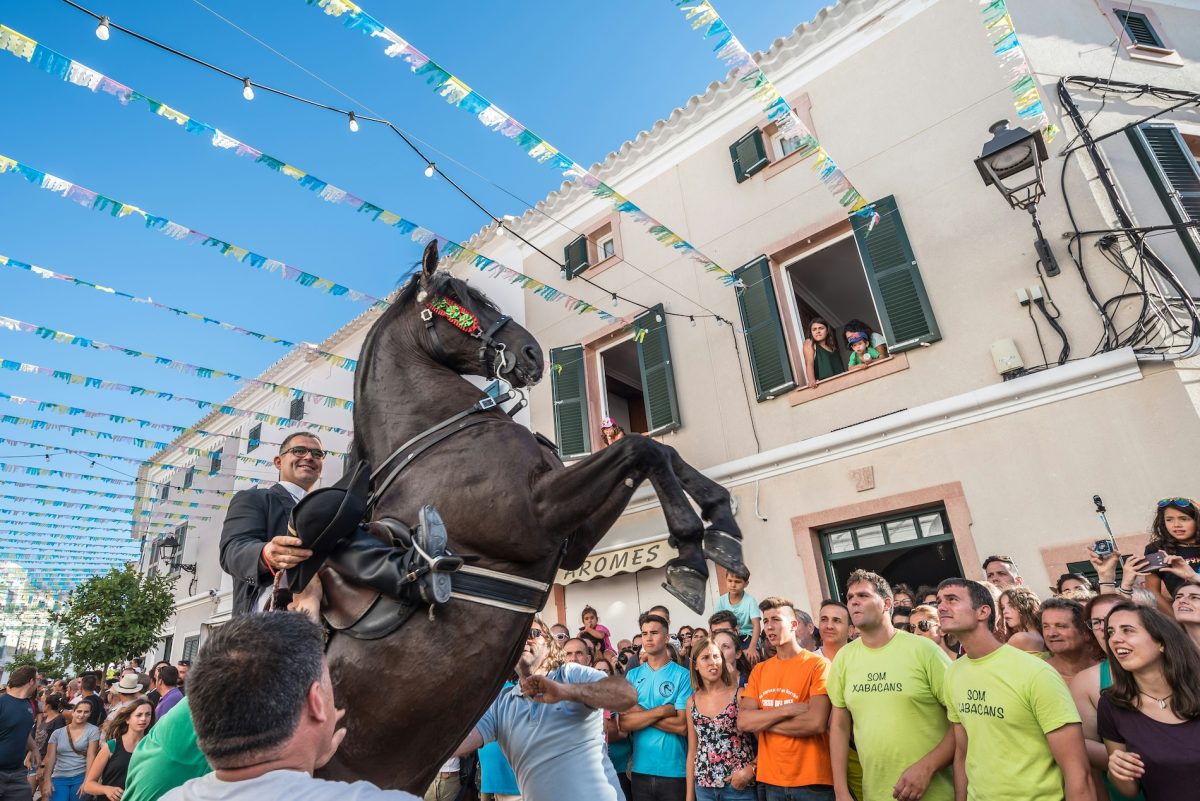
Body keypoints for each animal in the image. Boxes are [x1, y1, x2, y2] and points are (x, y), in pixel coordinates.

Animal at [324, 241, 744, 791]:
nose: (530, 354)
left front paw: (722, 527)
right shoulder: (534, 517)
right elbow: (642, 448)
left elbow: (655, 452)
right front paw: (692, 554)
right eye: (462, 298)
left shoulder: (571, 540)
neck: (436, 438)